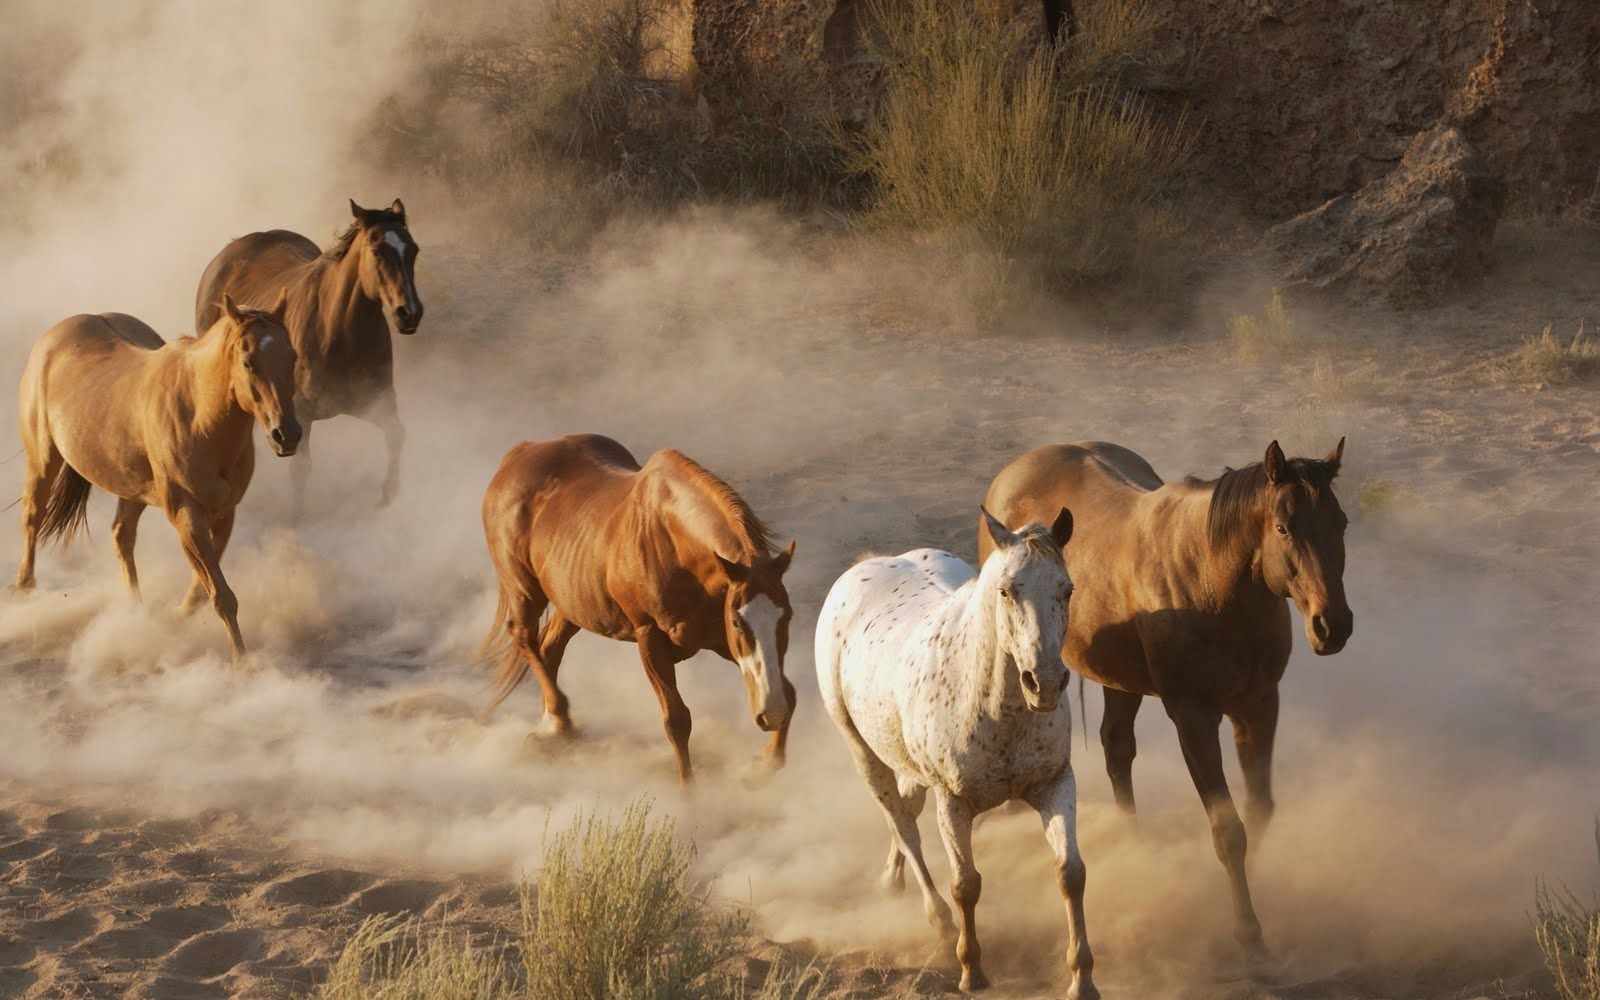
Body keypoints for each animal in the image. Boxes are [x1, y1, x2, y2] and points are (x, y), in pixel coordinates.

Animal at [14, 295, 301, 659]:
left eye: (292, 357)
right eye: (249, 362)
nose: (287, 435)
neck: (199, 416)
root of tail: (55, 335)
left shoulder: (224, 513)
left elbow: (203, 591)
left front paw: (176, 619)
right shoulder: (186, 514)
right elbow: (222, 596)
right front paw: (242, 662)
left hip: (132, 488)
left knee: (121, 536)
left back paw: (137, 612)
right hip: (43, 459)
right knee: (33, 516)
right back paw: (24, 589)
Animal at [194, 198, 422, 516]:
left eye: (413, 249)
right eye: (377, 251)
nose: (409, 313)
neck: (340, 332)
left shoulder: (377, 402)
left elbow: (396, 434)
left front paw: (387, 497)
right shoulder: (299, 413)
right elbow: (300, 469)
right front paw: (298, 516)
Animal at [479, 434, 797, 783]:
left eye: (787, 617)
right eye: (738, 622)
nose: (771, 714)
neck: (673, 544)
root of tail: (519, 454)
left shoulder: (718, 640)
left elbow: (789, 691)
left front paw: (763, 766)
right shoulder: (651, 638)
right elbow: (677, 721)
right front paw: (689, 793)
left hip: (570, 603)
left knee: (549, 648)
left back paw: (552, 728)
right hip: (524, 589)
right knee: (525, 637)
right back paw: (558, 720)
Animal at [816, 508, 1096, 998]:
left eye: (1067, 589)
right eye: (1007, 590)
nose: (1044, 683)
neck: (994, 707)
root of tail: (866, 566)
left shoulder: (1055, 783)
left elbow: (1070, 873)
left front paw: (1082, 978)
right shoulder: (954, 802)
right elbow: (966, 885)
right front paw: (972, 971)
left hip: (906, 762)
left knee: (906, 810)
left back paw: (891, 878)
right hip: (862, 751)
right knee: (903, 824)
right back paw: (939, 922)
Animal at [981, 439, 1352, 959]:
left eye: (1341, 523)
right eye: (1283, 527)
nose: (1332, 626)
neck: (1213, 584)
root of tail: (1013, 472)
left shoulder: (1258, 707)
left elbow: (1258, 811)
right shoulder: (1193, 720)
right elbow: (1228, 830)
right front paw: (1247, 930)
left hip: (1120, 682)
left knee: (1117, 749)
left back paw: (1134, 843)